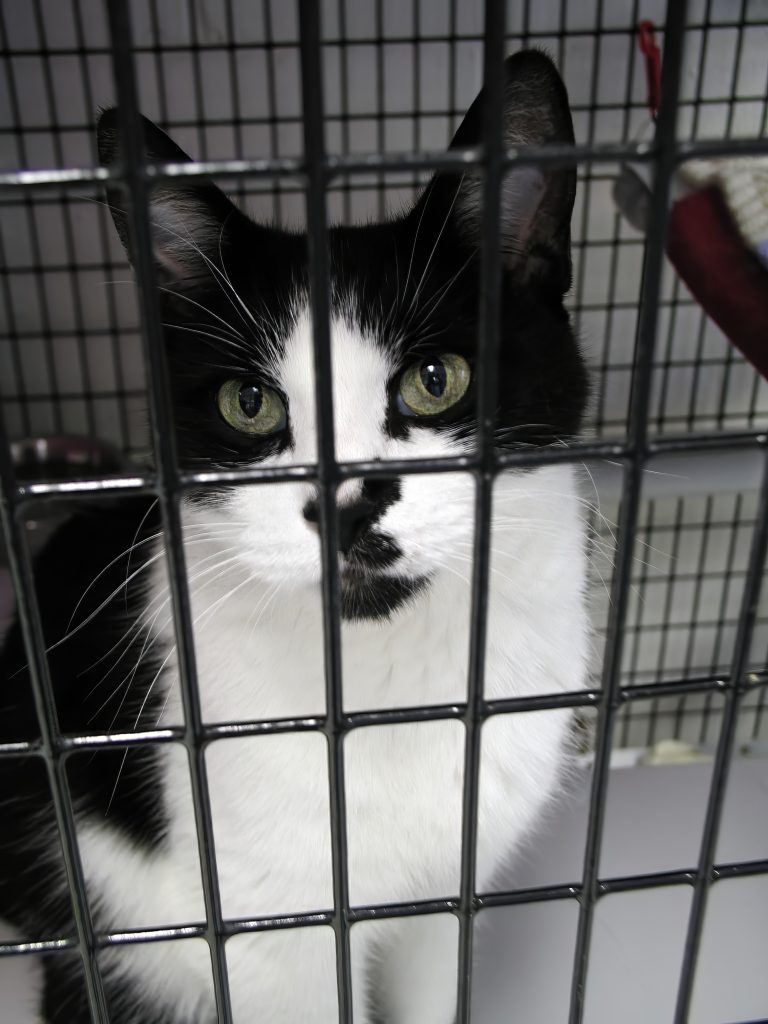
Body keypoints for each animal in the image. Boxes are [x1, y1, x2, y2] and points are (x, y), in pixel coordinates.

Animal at [1, 49, 589, 1024]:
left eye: (436, 378)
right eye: (250, 402)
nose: (344, 503)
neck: (386, 690)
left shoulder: (446, 897)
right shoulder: (267, 935)